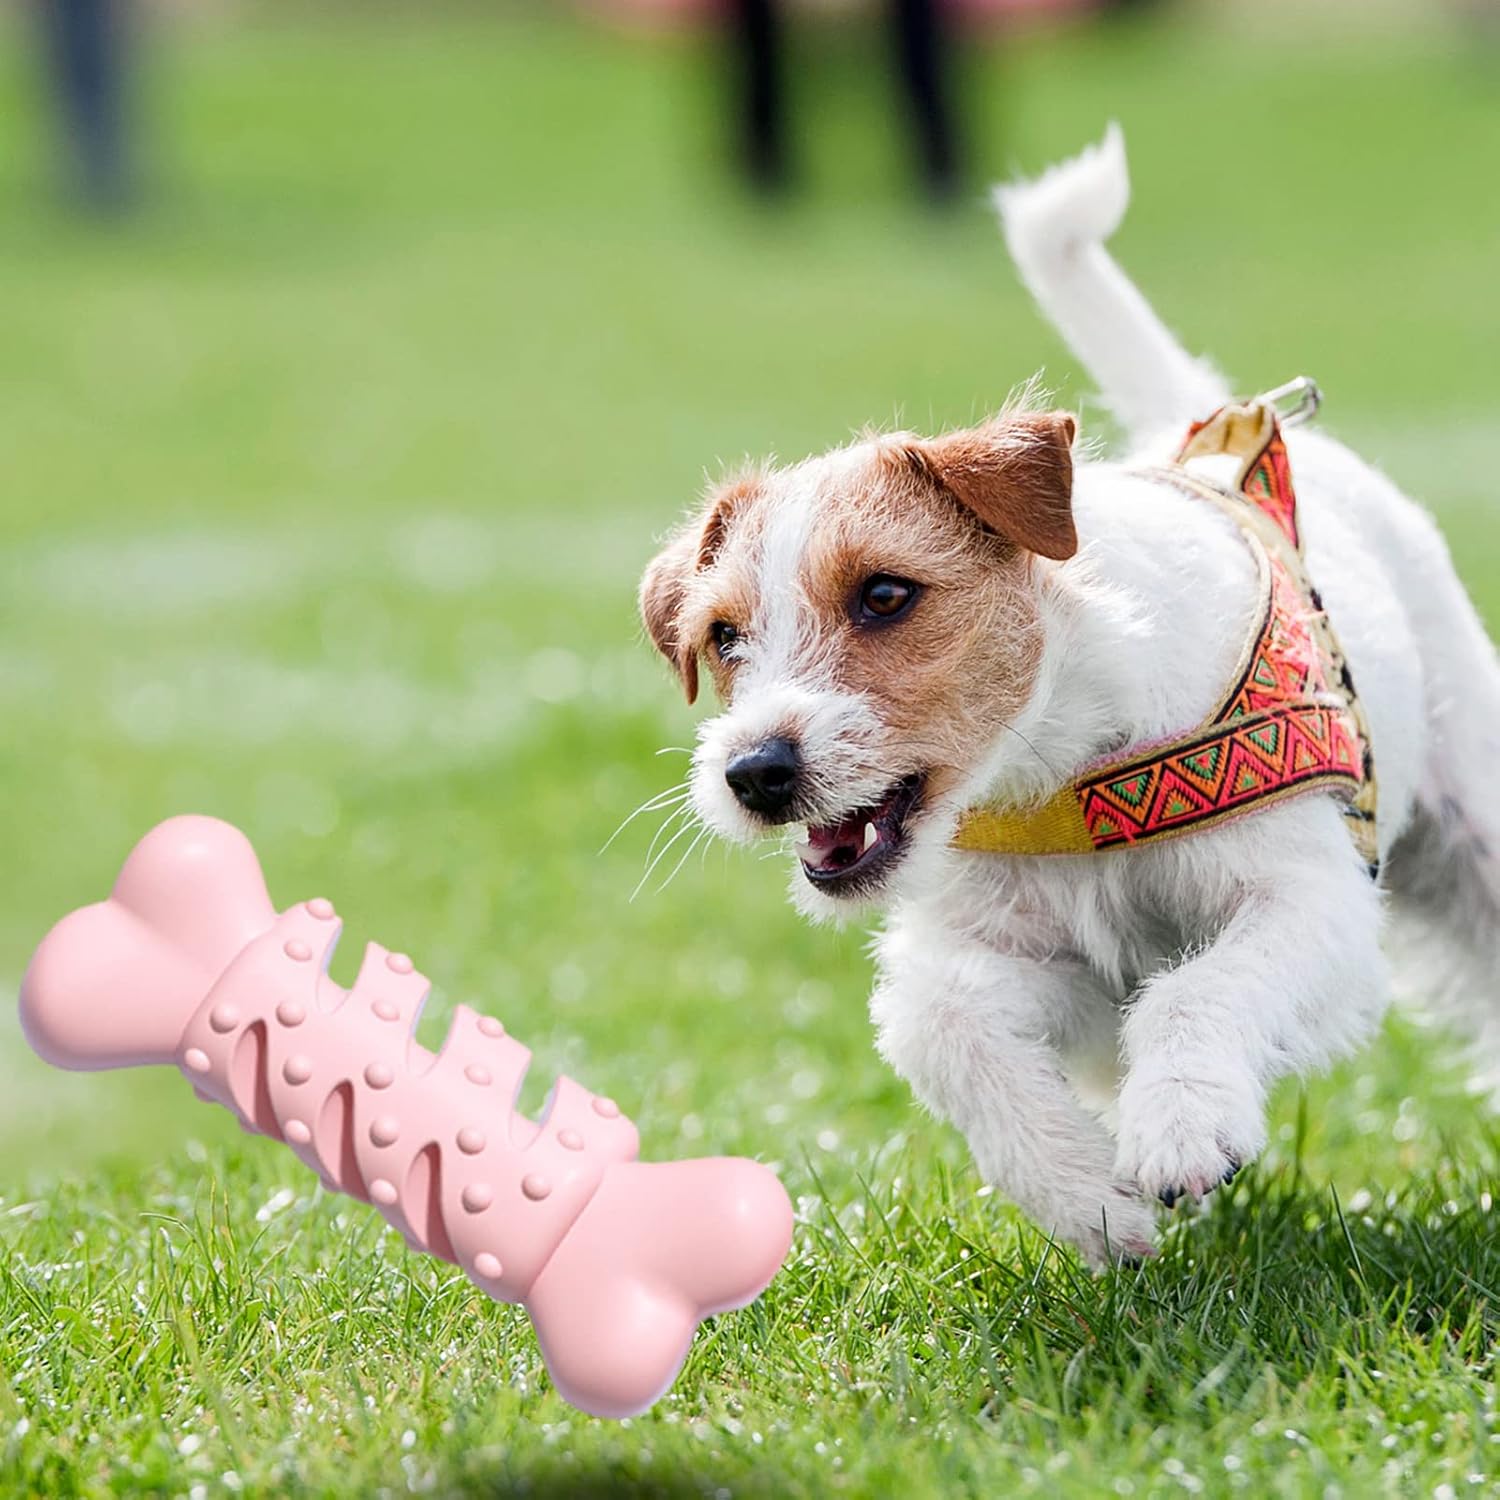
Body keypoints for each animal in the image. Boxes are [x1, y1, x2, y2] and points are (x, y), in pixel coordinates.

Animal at [633, 129, 1500, 1260]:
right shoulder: (1036, 963)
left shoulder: (1309, 904)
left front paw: (1180, 1129)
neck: (1065, 769)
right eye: (724, 637)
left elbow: (1197, 990)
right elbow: (940, 1026)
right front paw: (1088, 1194)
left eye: (885, 594)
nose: (754, 773)